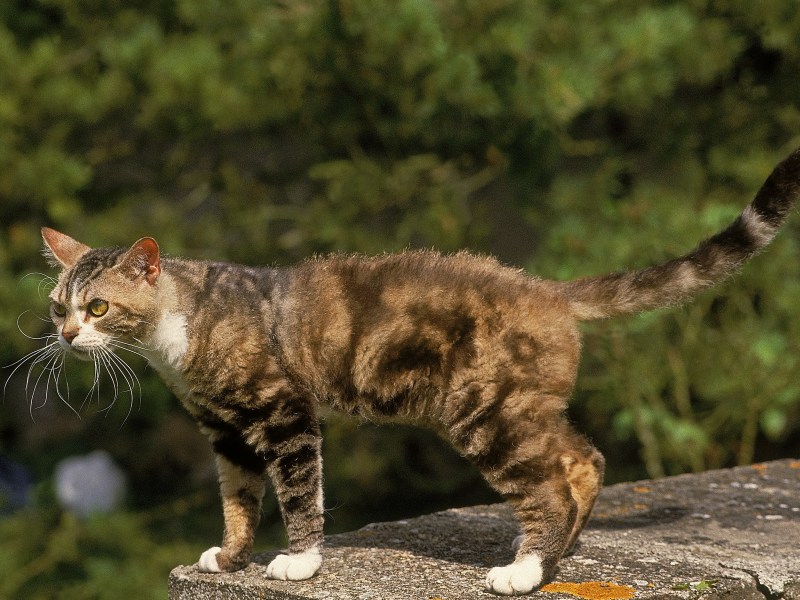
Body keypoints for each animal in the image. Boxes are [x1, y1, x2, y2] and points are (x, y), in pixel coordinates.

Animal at [36, 146, 800, 596]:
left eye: (98, 307)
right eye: (57, 306)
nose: (68, 335)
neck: (180, 332)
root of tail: (549, 290)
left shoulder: (284, 414)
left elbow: (298, 493)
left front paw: (299, 561)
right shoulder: (225, 433)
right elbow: (237, 500)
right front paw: (230, 558)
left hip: (487, 413)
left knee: (551, 480)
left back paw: (525, 570)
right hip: (524, 408)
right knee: (584, 458)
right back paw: (555, 555)